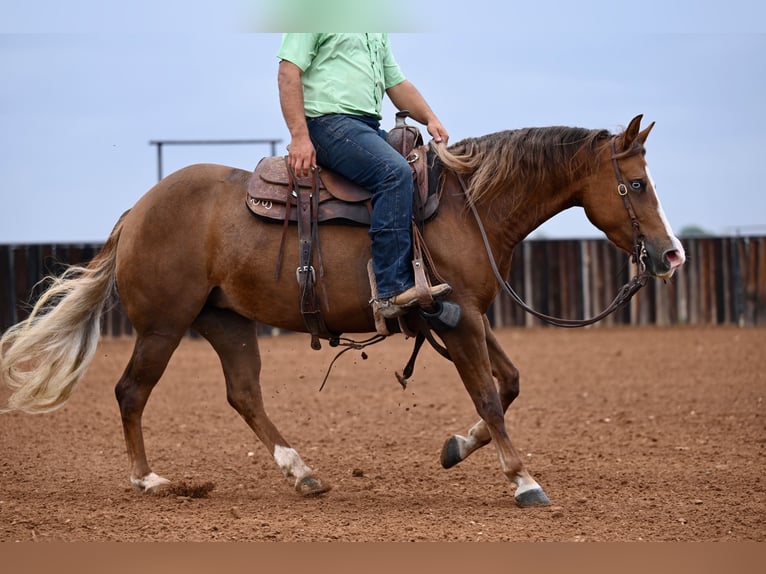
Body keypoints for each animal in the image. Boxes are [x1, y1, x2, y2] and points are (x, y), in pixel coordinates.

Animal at [0, 113, 684, 508]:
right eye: (637, 184)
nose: (672, 254)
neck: (467, 206)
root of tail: (138, 209)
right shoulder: (459, 318)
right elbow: (491, 396)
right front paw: (523, 480)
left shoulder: (468, 315)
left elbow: (510, 384)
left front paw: (457, 447)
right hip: (164, 325)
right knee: (131, 391)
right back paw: (150, 480)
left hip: (226, 321)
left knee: (243, 394)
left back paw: (302, 473)